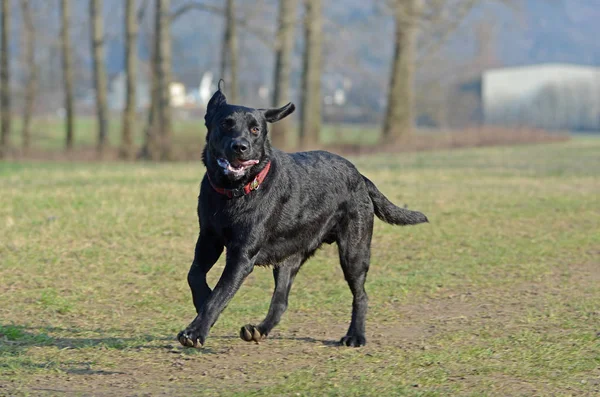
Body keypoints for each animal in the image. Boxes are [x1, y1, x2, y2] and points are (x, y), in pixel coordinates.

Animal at [178, 84, 426, 346]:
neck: (234, 193)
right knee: (281, 301)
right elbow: (195, 275)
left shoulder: (242, 255)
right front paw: (201, 301)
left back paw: (355, 336)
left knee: (361, 295)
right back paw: (258, 329)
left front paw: (195, 331)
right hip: (288, 259)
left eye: (255, 129)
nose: (240, 146)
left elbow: (220, 293)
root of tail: (360, 176)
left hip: (354, 252)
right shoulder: (208, 239)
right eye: (226, 124)